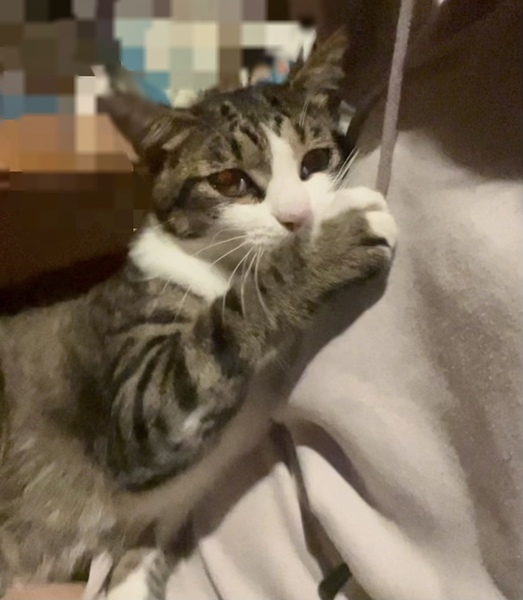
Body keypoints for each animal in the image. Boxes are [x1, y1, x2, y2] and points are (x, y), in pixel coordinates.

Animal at [0, 31, 397, 597]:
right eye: (231, 181)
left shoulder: (152, 527)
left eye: (316, 160)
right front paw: (330, 244)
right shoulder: (131, 404)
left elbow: (136, 565)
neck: (218, 269)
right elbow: (215, 334)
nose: (298, 218)